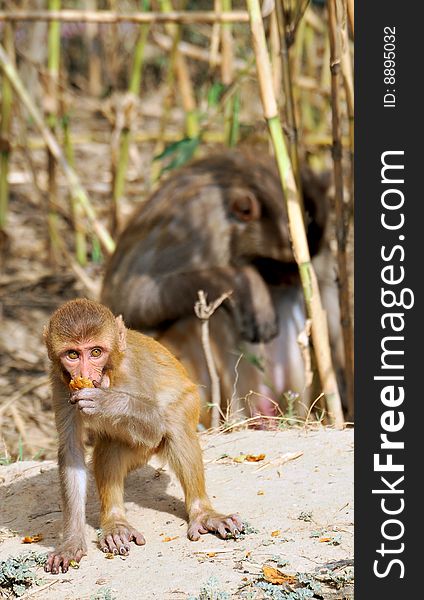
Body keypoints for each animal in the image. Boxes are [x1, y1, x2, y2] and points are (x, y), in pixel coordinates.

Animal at [44, 298, 242, 576]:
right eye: (73, 355)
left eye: (96, 352)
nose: (85, 373)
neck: (111, 373)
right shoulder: (61, 384)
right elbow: (71, 451)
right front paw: (72, 542)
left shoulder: (133, 370)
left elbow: (157, 426)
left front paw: (108, 402)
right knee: (110, 446)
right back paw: (115, 523)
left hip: (188, 405)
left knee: (174, 425)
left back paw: (202, 513)